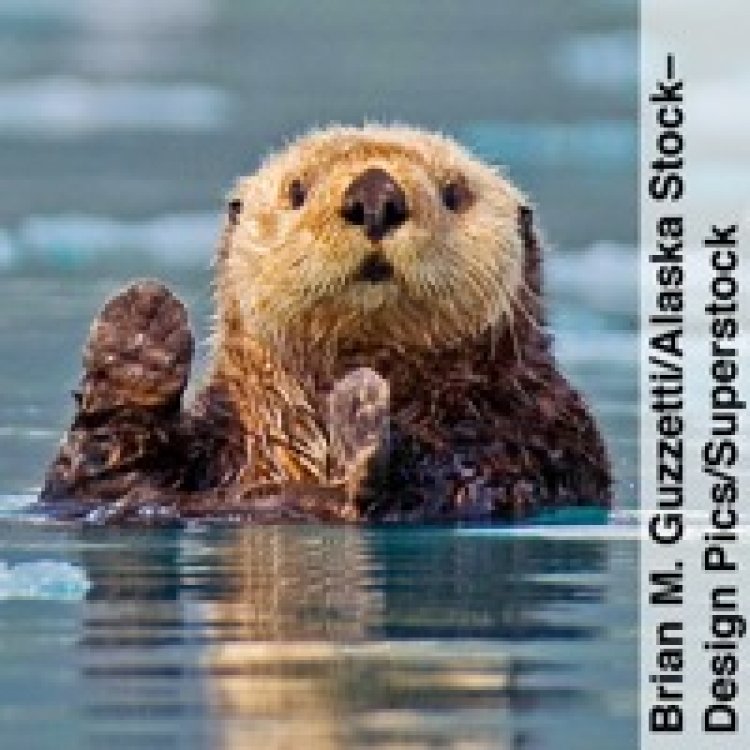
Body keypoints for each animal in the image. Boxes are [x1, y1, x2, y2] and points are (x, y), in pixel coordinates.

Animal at [40, 125, 611, 523]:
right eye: (297, 190)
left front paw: (363, 420)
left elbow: (455, 485)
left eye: (454, 194)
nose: (376, 196)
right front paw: (139, 333)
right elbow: (92, 484)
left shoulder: (530, 435)